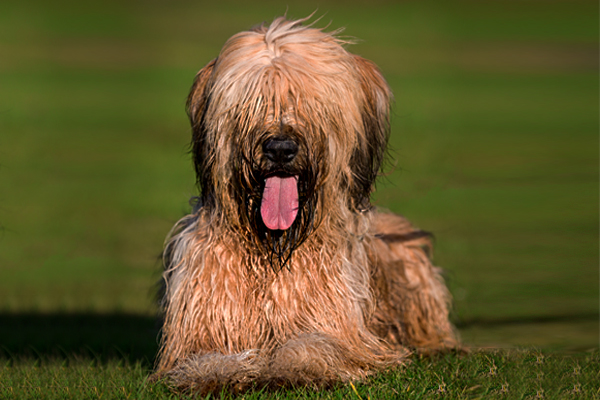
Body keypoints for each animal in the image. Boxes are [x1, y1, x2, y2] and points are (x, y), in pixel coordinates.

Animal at [155, 16, 454, 394]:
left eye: (308, 103)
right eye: (254, 102)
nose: (280, 148)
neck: (272, 248)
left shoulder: (338, 324)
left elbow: (313, 343)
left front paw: (294, 366)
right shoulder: (205, 320)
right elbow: (206, 355)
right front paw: (220, 372)